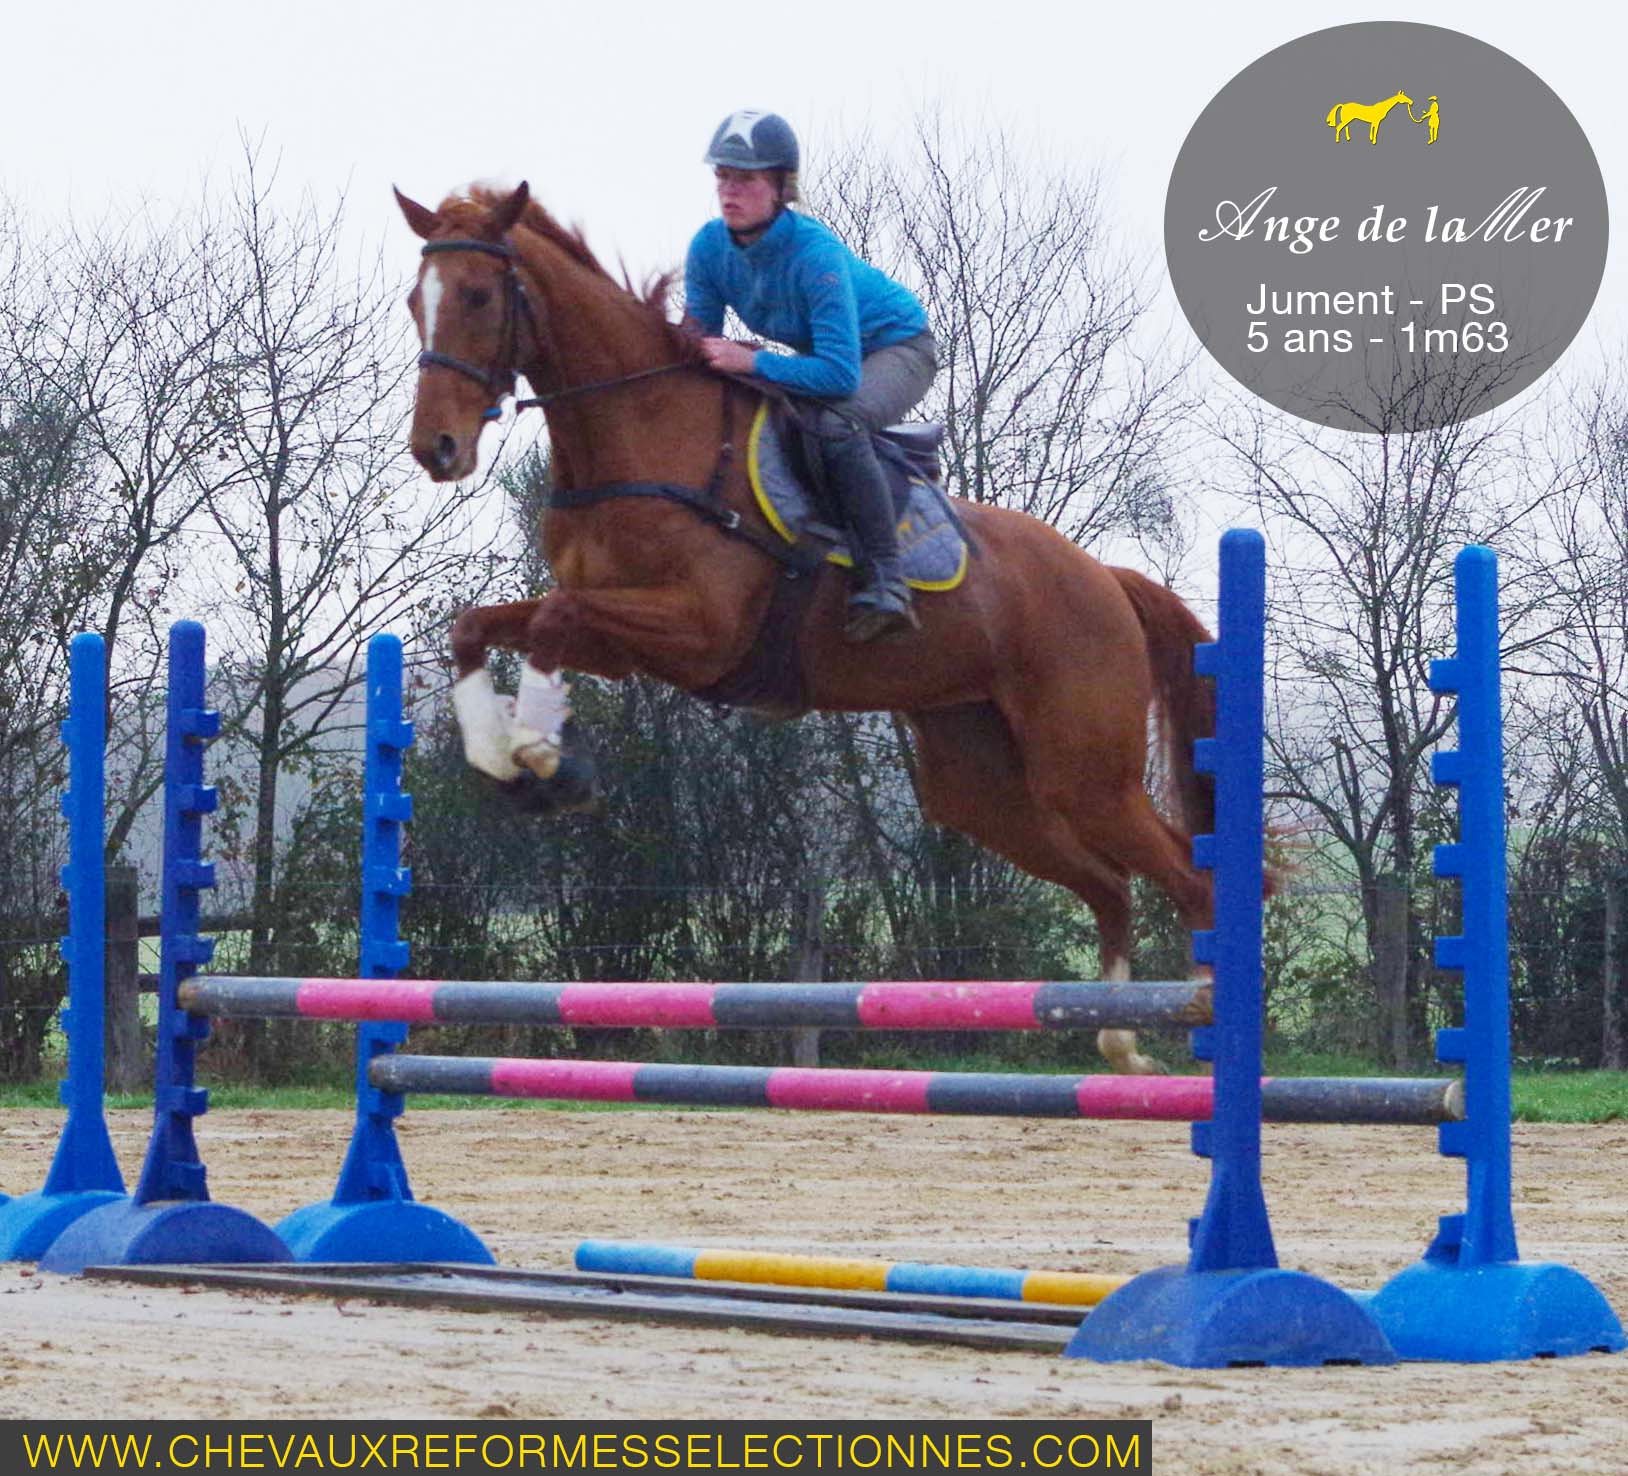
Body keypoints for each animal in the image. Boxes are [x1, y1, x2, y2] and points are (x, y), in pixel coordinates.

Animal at [393, 184, 1217, 1074]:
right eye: (415, 303)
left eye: (480, 297)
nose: (437, 448)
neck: (638, 428)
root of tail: (1107, 579)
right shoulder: (619, 642)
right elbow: (478, 625)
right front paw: (498, 753)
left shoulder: (701, 629)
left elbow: (552, 616)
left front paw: (546, 758)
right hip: (982, 784)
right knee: (1109, 885)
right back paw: (1123, 1041)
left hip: (1087, 772)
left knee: (1191, 880)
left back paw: (1205, 1029)